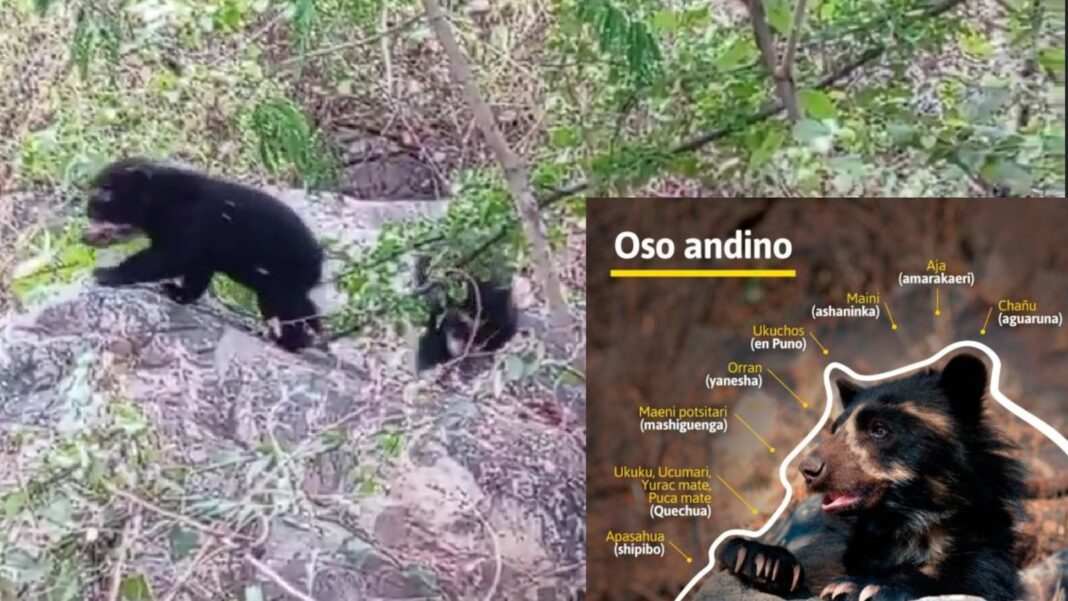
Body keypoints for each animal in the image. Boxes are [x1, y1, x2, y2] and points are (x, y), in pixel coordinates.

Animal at [82, 158, 324, 352]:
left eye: (107, 190)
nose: (88, 207)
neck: (165, 199)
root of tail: (318, 260)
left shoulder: (188, 229)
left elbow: (160, 260)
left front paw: (106, 273)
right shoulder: (202, 255)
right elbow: (195, 277)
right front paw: (178, 292)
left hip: (282, 283)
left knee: (297, 312)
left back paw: (293, 341)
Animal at [717, 352, 1026, 601]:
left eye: (879, 429)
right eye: (836, 430)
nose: (809, 470)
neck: (899, 524)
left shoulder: (981, 543)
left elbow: (969, 577)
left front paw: (864, 586)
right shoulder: (844, 546)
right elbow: (816, 566)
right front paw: (756, 558)